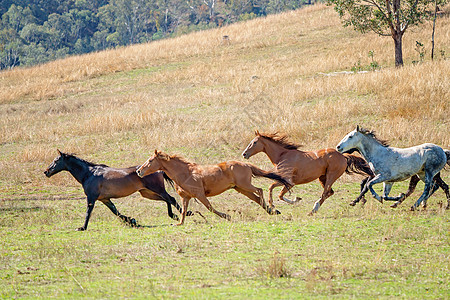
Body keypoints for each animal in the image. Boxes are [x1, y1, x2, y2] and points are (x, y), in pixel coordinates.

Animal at [44, 149, 188, 231]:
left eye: (56, 160)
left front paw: (82, 227)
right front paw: (132, 221)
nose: (46, 172)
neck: (89, 173)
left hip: (156, 189)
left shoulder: (91, 198)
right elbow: (115, 211)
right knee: (167, 199)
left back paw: (183, 214)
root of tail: (158, 170)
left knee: (171, 198)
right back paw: (175, 215)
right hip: (147, 193)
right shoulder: (104, 199)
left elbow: (88, 212)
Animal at [135, 150, 294, 225]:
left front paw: (227, 216)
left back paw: (272, 209)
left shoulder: (200, 195)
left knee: (259, 190)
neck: (185, 173)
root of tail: (246, 164)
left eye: (150, 160)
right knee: (256, 197)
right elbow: (184, 212)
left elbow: (210, 208)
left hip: (245, 185)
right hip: (241, 188)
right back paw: (272, 211)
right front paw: (179, 223)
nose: (139, 171)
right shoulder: (186, 197)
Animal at [241, 130, 374, 214]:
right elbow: (279, 194)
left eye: (254, 142)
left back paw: (313, 210)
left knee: (325, 193)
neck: (282, 155)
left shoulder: (289, 182)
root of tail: (343, 156)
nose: (244, 154)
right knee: (329, 193)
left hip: (331, 177)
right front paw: (296, 199)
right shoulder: (287, 182)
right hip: (322, 178)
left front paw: (274, 206)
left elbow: (273, 189)